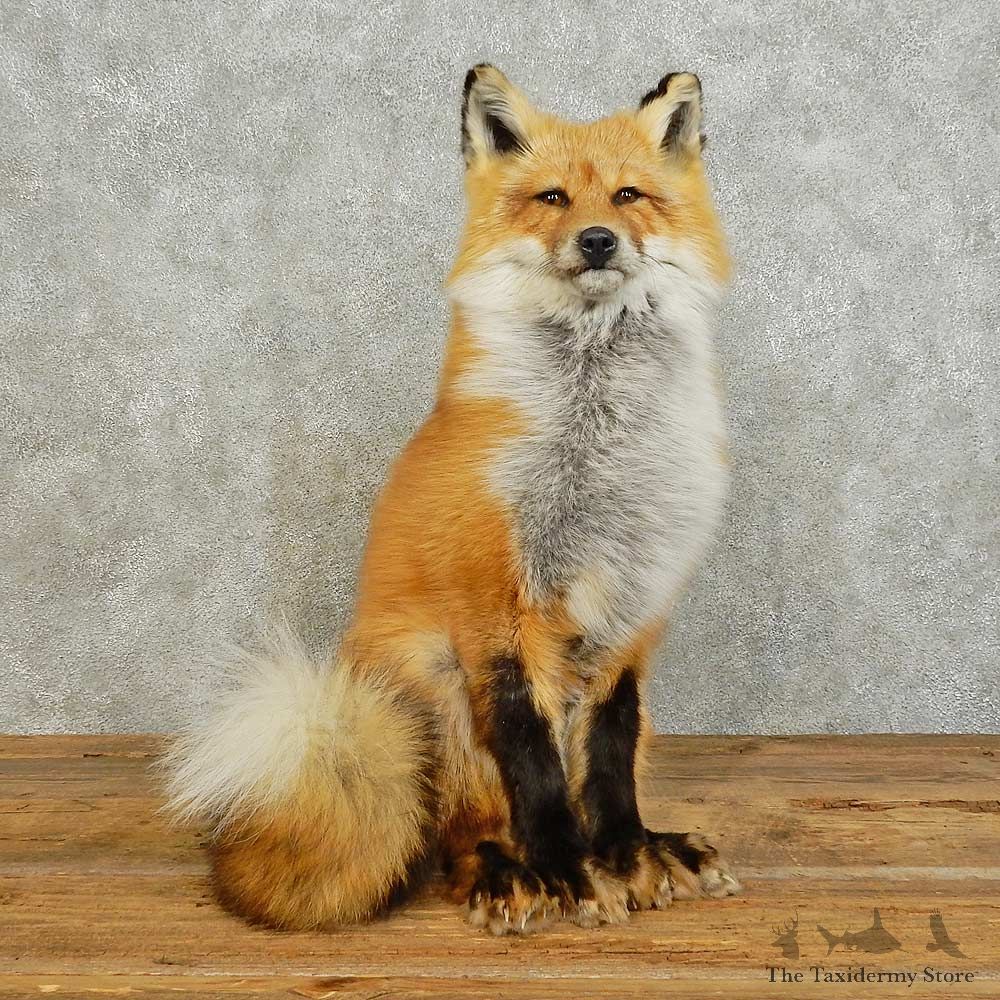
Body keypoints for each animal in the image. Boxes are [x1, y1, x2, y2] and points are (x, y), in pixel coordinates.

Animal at [164, 64, 740, 935]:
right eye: (552, 199)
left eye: (629, 196)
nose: (597, 240)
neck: (597, 440)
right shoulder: (494, 609)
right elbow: (534, 760)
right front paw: (570, 869)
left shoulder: (632, 615)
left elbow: (607, 760)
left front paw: (628, 852)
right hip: (432, 678)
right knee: (456, 837)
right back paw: (506, 872)